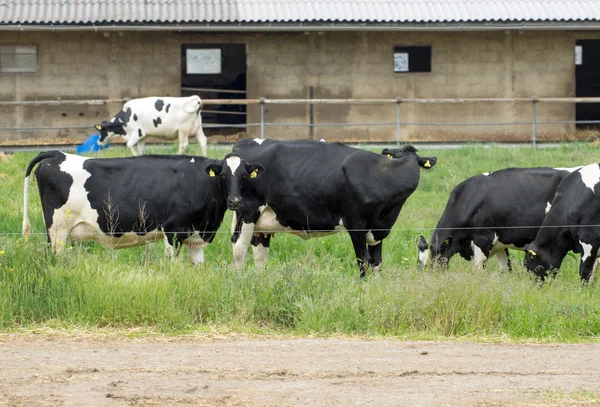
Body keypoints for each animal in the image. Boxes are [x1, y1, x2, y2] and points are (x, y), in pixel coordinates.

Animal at [23, 151, 262, 262]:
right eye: (223, 175)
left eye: (244, 176)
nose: (235, 201)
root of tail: (58, 154)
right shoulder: (172, 231)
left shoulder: (196, 237)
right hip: (57, 230)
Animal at [230, 139, 436, 278]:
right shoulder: (355, 224)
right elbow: (363, 260)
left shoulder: (379, 229)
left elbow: (377, 262)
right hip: (246, 210)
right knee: (239, 248)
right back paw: (241, 280)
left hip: (263, 219)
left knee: (259, 251)